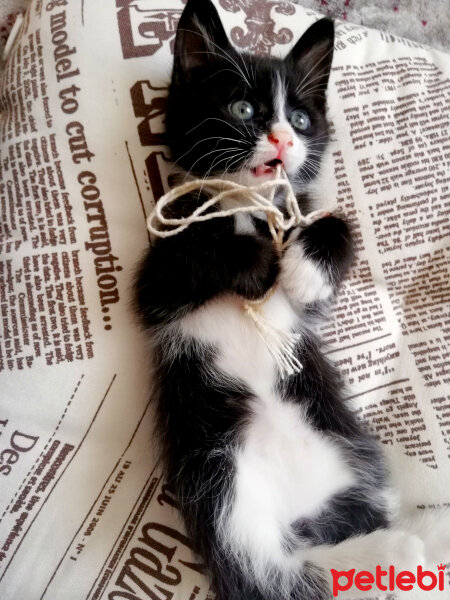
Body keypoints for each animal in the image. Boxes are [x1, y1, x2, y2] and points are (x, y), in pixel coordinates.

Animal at [134, 1, 450, 600]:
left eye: (301, 121)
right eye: (242, 108)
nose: (282, 139)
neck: (248, 203)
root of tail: (305, 517)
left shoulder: (309, 281)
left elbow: (334, 225)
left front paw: (303, 271)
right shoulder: (155, 274)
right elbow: (196, 255)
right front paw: (257, 265)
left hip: (353, 457)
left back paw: (412, 541)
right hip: (221, 483)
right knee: (272, 571)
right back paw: (398, 549)